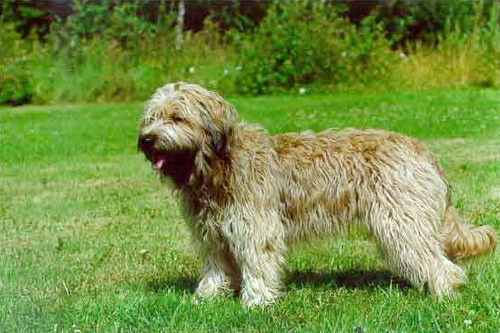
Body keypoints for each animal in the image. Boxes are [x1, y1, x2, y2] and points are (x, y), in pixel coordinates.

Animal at [137, 81, 496, 304]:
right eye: (151, 118)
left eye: (177, 117)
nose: (147, 139)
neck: (217, 165)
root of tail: (424, 151)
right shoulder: (211, 234)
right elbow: (215, 268)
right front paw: (206, 299)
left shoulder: (255, 229)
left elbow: (257, 263)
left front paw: (256, 302)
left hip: (401, 222)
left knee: (440, 263)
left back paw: (444, 293)